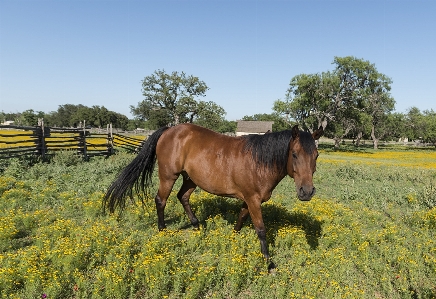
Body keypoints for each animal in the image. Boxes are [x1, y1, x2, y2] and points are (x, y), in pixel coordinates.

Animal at [104, 123, 324, 268]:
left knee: (183, 197)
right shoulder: (253, 199)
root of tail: (168, 130)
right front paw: (268, 263)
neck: (259, 162)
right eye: (294, 154)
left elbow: (240, 219)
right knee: (161, 200)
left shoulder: (248, 199)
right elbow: (261, 230)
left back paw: (197, 226)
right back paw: (162, 229)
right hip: (168, 176)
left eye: (316, 155)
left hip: (191, 179)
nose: (306, 192)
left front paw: (233, 239)